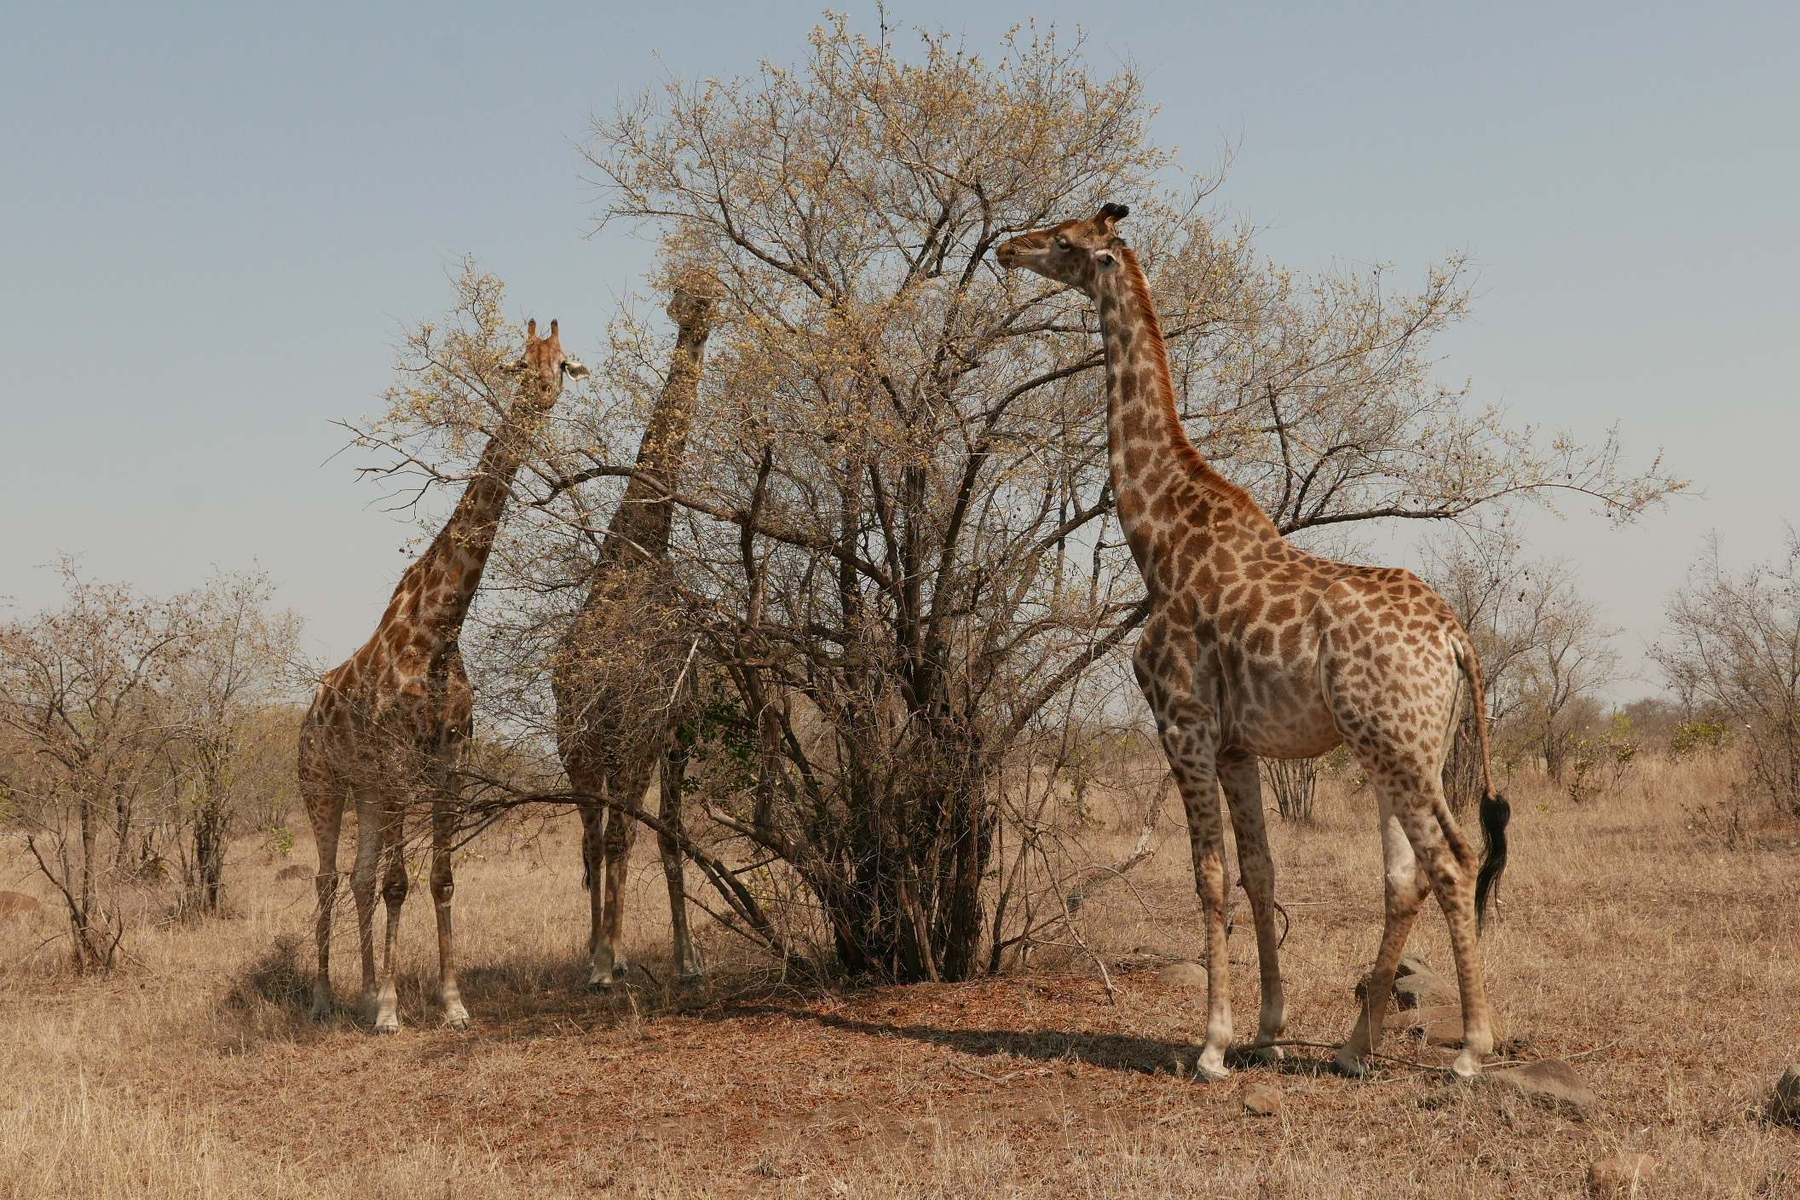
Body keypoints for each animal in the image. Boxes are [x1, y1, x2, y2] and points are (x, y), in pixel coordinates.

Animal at [298, 318, 586, 1036]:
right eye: (522, 363)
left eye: (563, 364)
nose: (542, 393)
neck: (439, 630)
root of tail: (309, 709)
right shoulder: (401, 762)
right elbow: (402, 882)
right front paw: (392, 1011)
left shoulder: (450, 762)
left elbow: (440, 879)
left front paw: (450, 1003)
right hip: (324, 782)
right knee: (326, 878)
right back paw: (323, 998)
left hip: (369, 789)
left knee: (357, 878)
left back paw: (360, 990)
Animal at [993, 204, 1512, 1079]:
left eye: (1064, 241)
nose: (1005, 246)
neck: (1158, 538)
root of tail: (1455, 638)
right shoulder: (1237, 744)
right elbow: (1261, 872)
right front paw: (1267, 1028)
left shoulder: (1183, 723)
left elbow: (1208, 876)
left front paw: (1211, 1043)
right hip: (1411, 748)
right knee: (1406, 875)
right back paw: (1353, 1046)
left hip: (1393, 745)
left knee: (1451, 861)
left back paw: (1472, 1048)